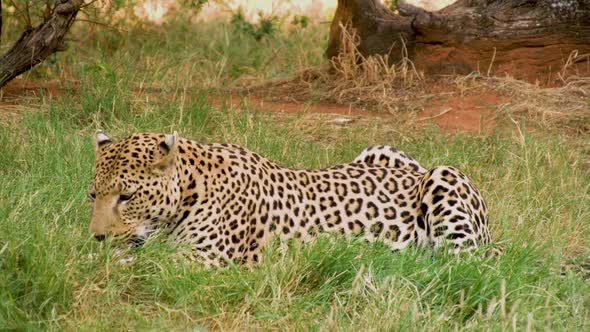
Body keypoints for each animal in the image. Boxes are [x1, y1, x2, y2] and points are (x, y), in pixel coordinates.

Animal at [90, 131, 498, 266]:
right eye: (93, 195)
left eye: (126, 196)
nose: (98, 236)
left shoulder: (208, 258)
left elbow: (150, 263)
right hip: (378, 150)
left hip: (444, 177)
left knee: (464, 263)